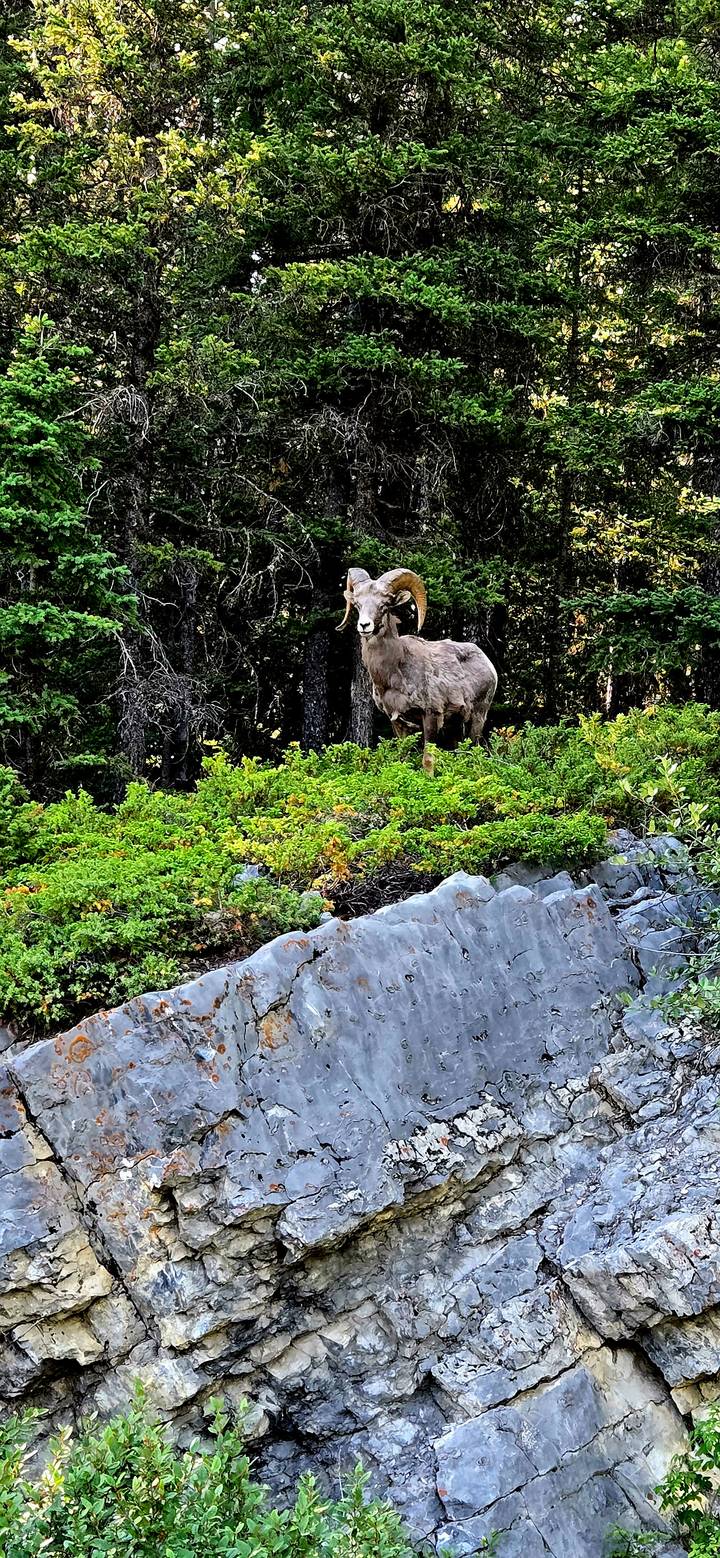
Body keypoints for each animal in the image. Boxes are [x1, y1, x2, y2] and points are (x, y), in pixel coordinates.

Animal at [337, 566, 497, 774]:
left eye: (384, 604)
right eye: (357, 604)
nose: (364, 625)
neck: (393, 675)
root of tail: (488, 664)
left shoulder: (431, 716)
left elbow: (427, 760)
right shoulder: (397, 721)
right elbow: (403, 758)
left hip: (477, 717)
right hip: (456, 726)